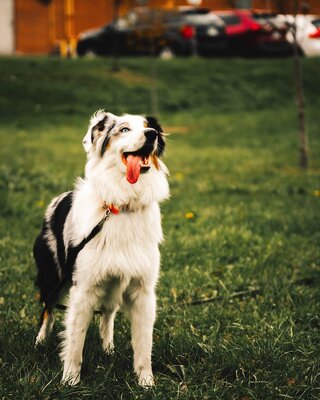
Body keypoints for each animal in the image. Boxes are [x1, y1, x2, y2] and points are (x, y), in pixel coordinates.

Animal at [33, 111, 170, 386]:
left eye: (149, 127)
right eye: (124, 129)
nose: (152, 135)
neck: (124, 204)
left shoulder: (143, 290)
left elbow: (143, 344)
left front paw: (146, 382)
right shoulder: (84, 288)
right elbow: (75, 340)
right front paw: (70, 381)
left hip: (112, 284)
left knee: (108, 313)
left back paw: (108, 348)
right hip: (53, 274)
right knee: (48, 307)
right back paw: (40, 341)